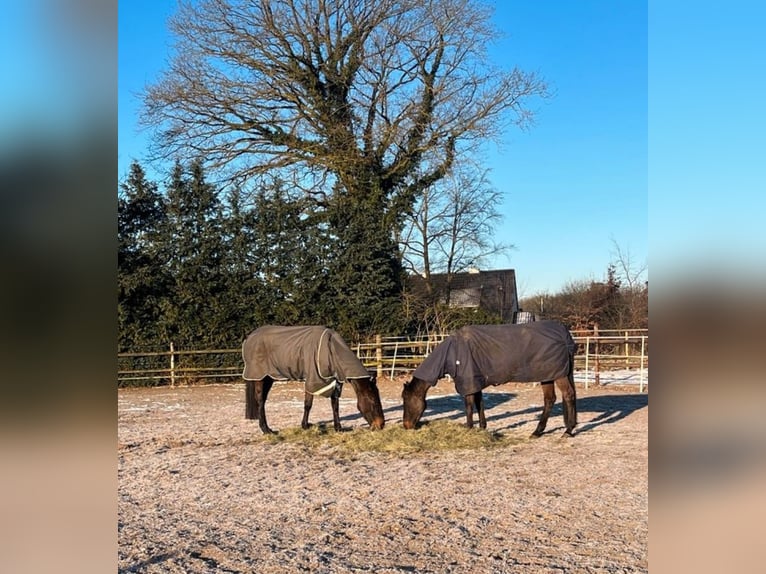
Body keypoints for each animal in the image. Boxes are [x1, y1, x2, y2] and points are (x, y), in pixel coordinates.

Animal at [242, 325, 385, 434]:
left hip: (269, 378)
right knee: (260, 400)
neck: (331, 349)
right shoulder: (312, 379)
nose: (381, 425)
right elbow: (308, 405)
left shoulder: (333, 381)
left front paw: (338, 428)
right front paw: (305, 426)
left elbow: (335, 405)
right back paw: (266, 430)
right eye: (373, 401)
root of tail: (249, 337)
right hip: (260, 377)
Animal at [401, 321, 577, 436]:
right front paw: (482, 427)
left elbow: (469, 406)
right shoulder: (475, 382)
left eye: (406, 399)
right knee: (550, 399)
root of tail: (564, 334)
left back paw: (568, 431)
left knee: (568, 395)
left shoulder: (468, 382)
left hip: (559, 375)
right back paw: (538, 431)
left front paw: (469, 428)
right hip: (548, 376)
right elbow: (479, 404)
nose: (406, 426)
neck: (454, 352)